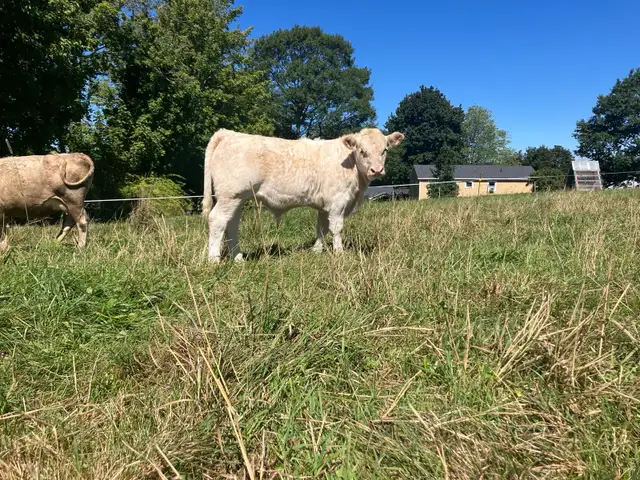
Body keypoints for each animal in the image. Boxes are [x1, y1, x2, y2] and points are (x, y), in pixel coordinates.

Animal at [201, 127, 404, 262]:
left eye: (384, 150)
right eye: (362, 151)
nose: (377, 170)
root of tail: (229, 133)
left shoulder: (324, 206)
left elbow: (321, 228)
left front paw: (316, 250)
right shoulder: (337, 201)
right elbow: (336, 228)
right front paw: (339, 253)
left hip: (238, 199)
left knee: (232, 224)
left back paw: (238, 258)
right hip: (231, 196)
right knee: (217, 220)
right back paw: (214, 260)